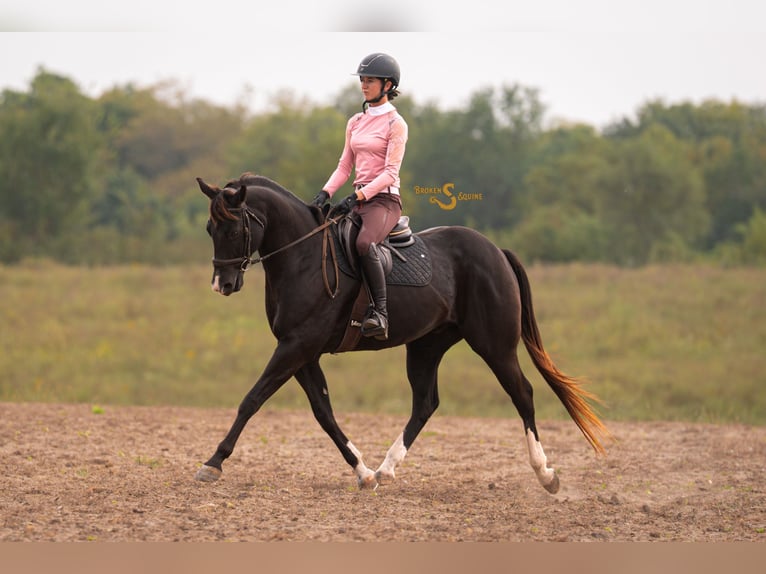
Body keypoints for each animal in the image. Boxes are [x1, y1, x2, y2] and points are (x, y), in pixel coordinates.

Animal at [195, 172, 609, 492]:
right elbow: (323, 412)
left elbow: (252, 399)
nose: (221, 284)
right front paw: (363, 473)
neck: (305, 258)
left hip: (495, 346)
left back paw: (546, 475)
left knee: (522, 393)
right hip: (426, 346)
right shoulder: (301, 352)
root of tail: (496, 251)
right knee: (425, 403)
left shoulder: (295, 347)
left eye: (234, 228)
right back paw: (386, 468)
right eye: (210, 228)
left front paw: (213, 462)